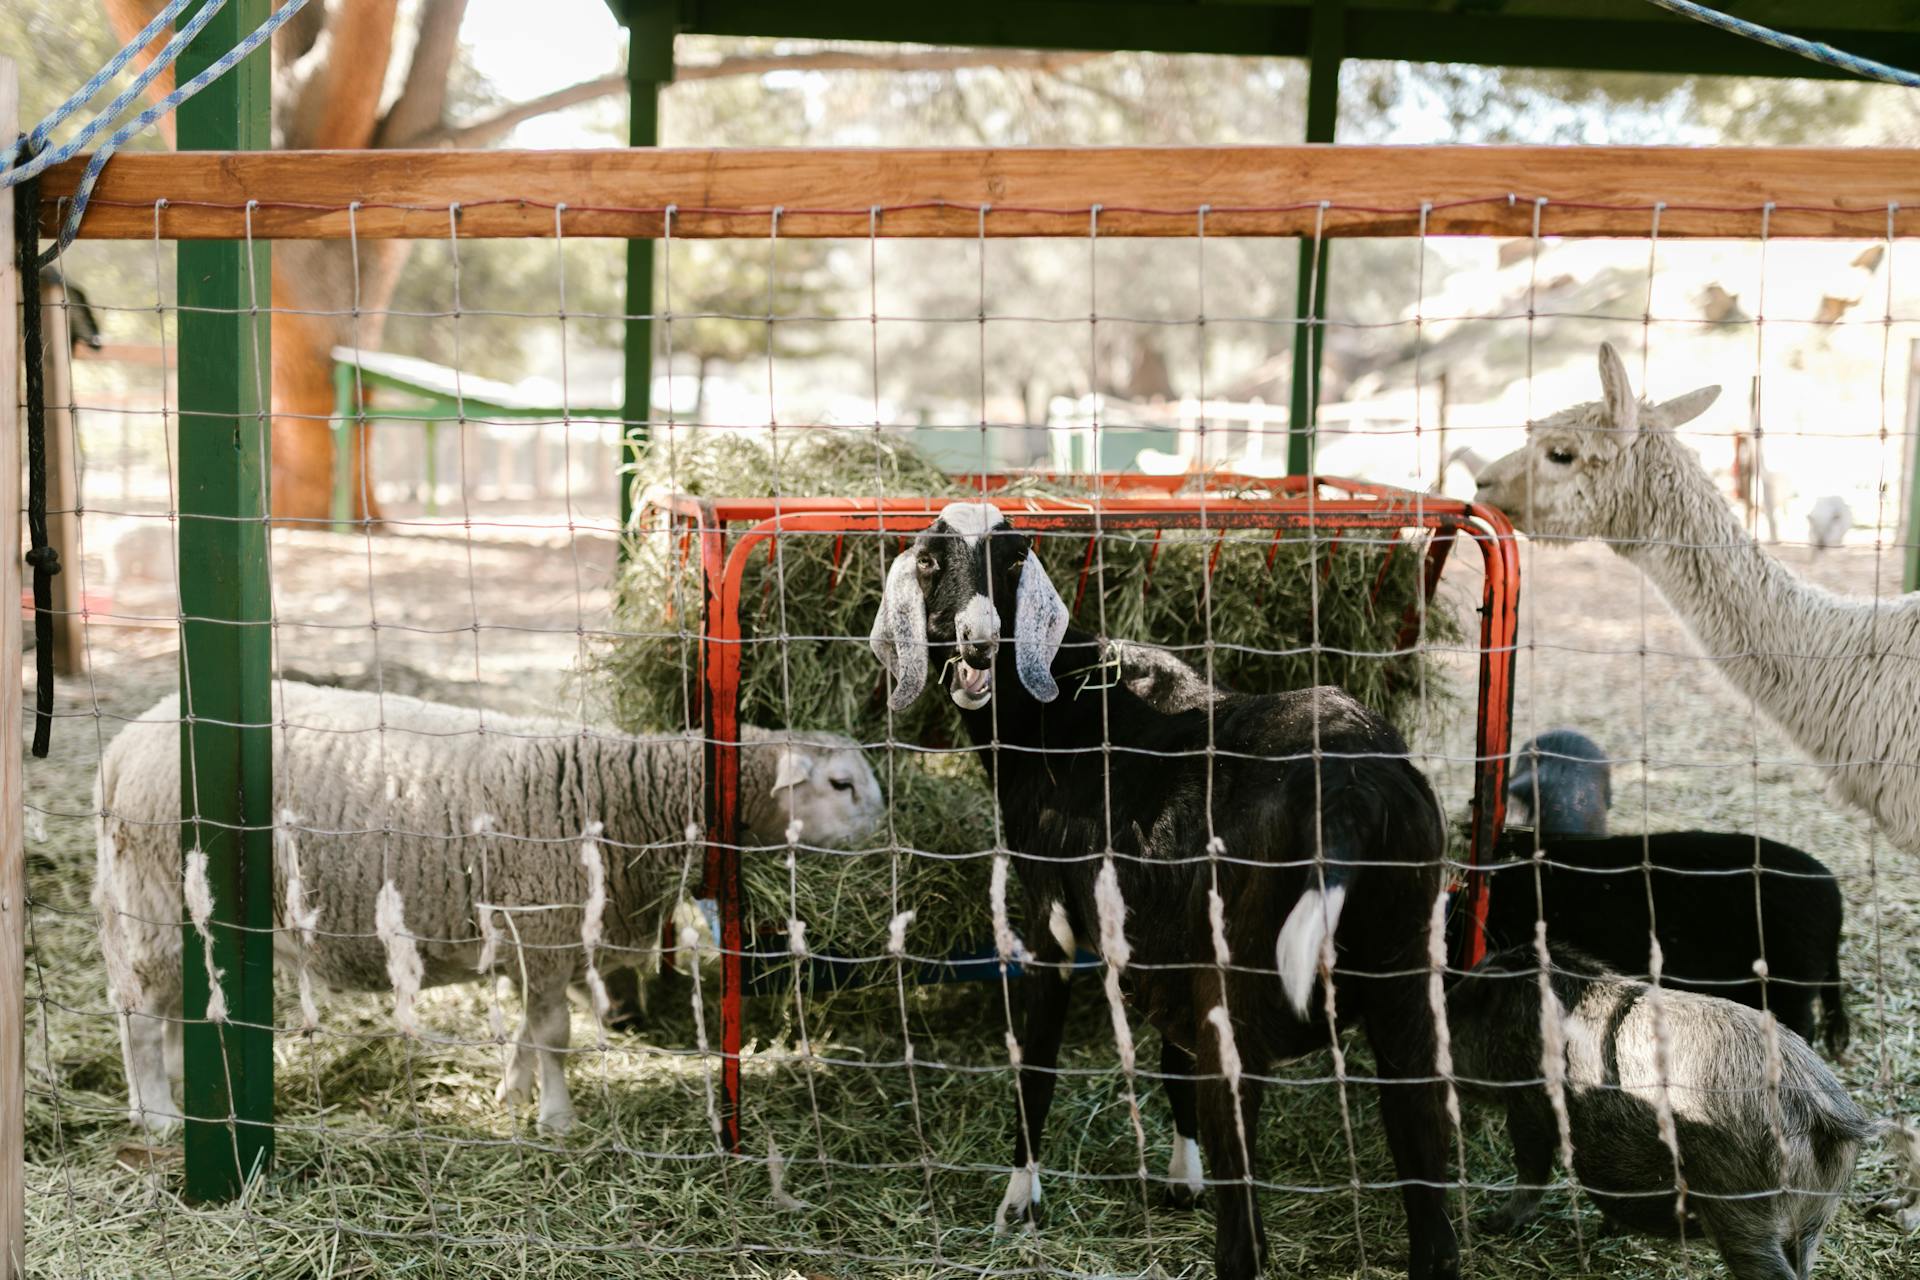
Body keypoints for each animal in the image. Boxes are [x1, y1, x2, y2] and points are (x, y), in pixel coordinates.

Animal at [97, 687, 883, 1136]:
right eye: (841, 784)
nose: (887, 832)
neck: (625, 798)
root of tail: (125, 742)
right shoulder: (543, 927)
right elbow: (557, 1034)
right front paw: (558, 1120)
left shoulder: (529, 938)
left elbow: (530, 1033)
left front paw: (512, 1094)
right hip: (155, 900)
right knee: (138, 1014)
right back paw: (158, 1116)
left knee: (170, 1007)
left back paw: (183, 1092)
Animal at [871, 502, 1451, 1280]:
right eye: (932, 561)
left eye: (1015, 562)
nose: (981, 641)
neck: (1061, 711)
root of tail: (1350, 797)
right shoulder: (1166, 940)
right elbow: (1170, 1061)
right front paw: (1182, 1176)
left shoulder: (1053, 918)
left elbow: (1038, 1059)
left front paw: (1018, 1201)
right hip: (1405, 992)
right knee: (1433, 1220)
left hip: (1242, 1013)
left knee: (1244, 1242)